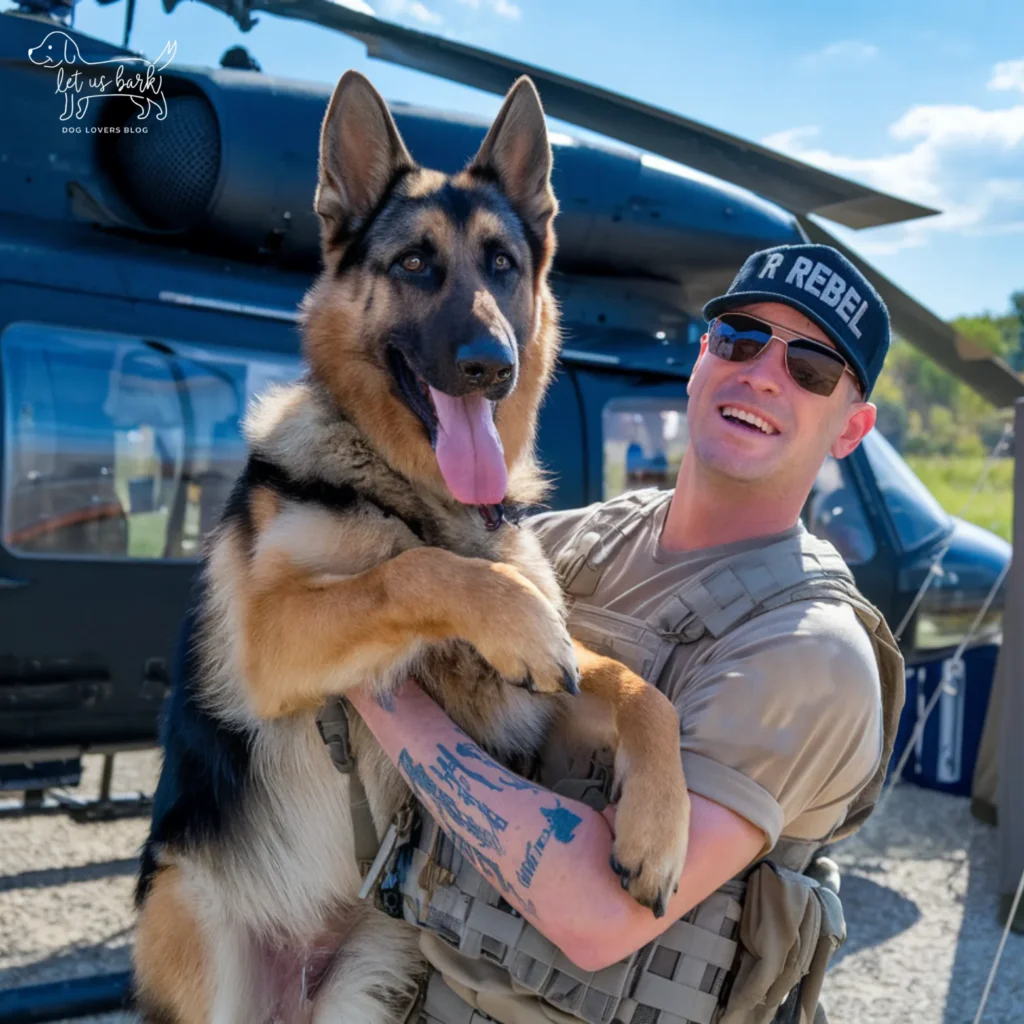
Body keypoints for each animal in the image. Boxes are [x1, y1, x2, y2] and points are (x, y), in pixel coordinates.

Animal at [130, 72, 688, 1024]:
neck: (415, 489)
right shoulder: (274, 639)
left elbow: (635, 688)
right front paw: (500, 612)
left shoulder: (532, 695)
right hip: (201, 931)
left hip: (378, 966)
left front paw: (660, 830)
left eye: (503, 265)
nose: (490, 365)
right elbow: (410, 568)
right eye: (415, 264)